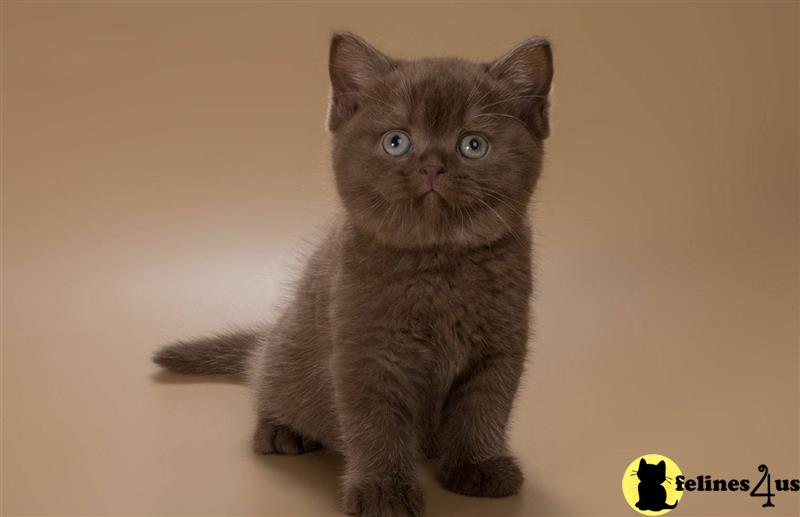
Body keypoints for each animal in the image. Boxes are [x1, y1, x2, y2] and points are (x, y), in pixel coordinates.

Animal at [153, 33, 552, 516]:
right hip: (288, 349)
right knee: (266, 379)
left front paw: (478, 466)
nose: (432, 165)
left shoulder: (500, 348)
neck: (438, 265)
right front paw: (384, 491)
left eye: (472, 145)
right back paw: (281, 431)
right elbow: (374, 424)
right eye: (396, 142)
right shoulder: (364, 352)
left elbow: (485, 408)